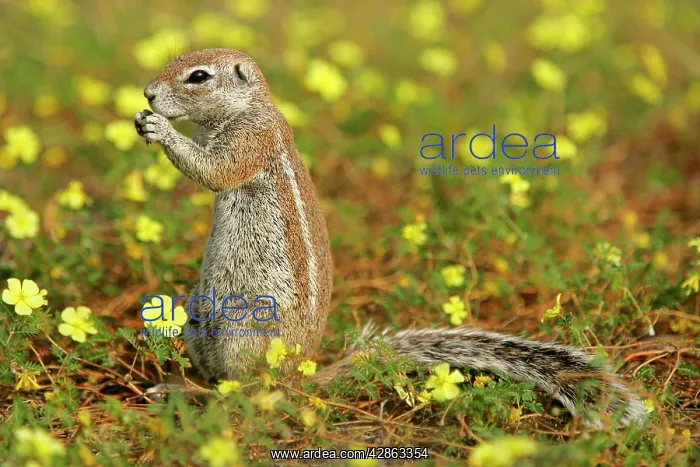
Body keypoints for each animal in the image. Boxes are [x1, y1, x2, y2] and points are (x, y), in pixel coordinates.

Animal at [134, 48, 646, 428]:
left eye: (199, 76)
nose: (148, 93)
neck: (250, 107)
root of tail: (298, 376)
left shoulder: (249, 141)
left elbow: (214, 172)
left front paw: (161, 130)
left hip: (244, 334)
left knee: (247, 392)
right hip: (198, 321)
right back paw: (178, 387)